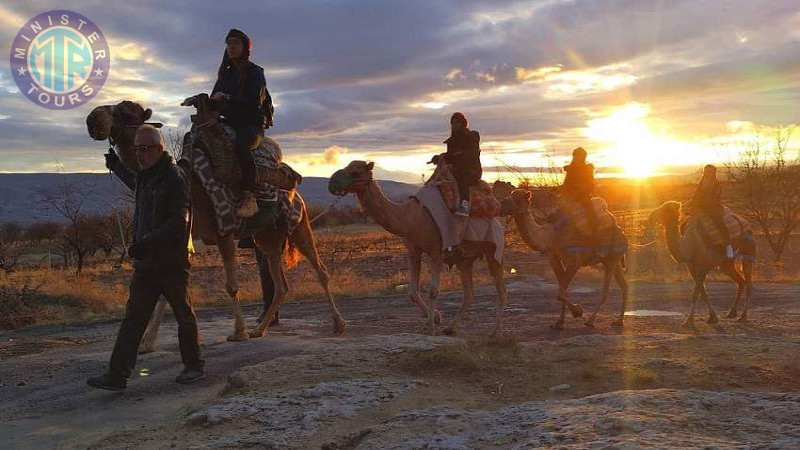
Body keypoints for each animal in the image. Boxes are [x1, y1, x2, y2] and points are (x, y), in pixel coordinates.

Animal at [85, 102, 346, 348]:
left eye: (126, 112)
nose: (93, 119)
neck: (188, 183)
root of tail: (296, 190)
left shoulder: (225, 230)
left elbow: (231, 285)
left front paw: (239, 332)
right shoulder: (184, 236)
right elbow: (166, 291)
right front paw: (147, 343)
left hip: (300, 226)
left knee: (321, 271)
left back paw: (338, 323)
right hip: (268, 239)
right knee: (281, 286)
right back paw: (259, 329)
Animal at [326, 161, 506, 334]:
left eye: (355, 173)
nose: (332, 184)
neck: (410, 217)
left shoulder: (436, 251)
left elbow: (433, 290)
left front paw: (430, 327)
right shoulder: (413, 252)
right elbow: (412, 292)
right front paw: (435, 318)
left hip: (494, 249)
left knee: (501, 291)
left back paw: (496, 331)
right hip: (465, 260)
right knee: (469, 294)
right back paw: (451, 328)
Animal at [500, 188, 632, 328]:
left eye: (519, 198)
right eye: (511, 194)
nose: (502, 204)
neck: (551, 236)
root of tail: (622, 232)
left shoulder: (575, 261)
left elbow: (561, 293)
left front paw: (578, 311)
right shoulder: (554, 258)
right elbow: (563, 290)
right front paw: (559, 322)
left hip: (611, 258)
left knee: (605, 292)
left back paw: (591, 321)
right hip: (613, 261)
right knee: (624, 285)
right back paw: (619, 320)